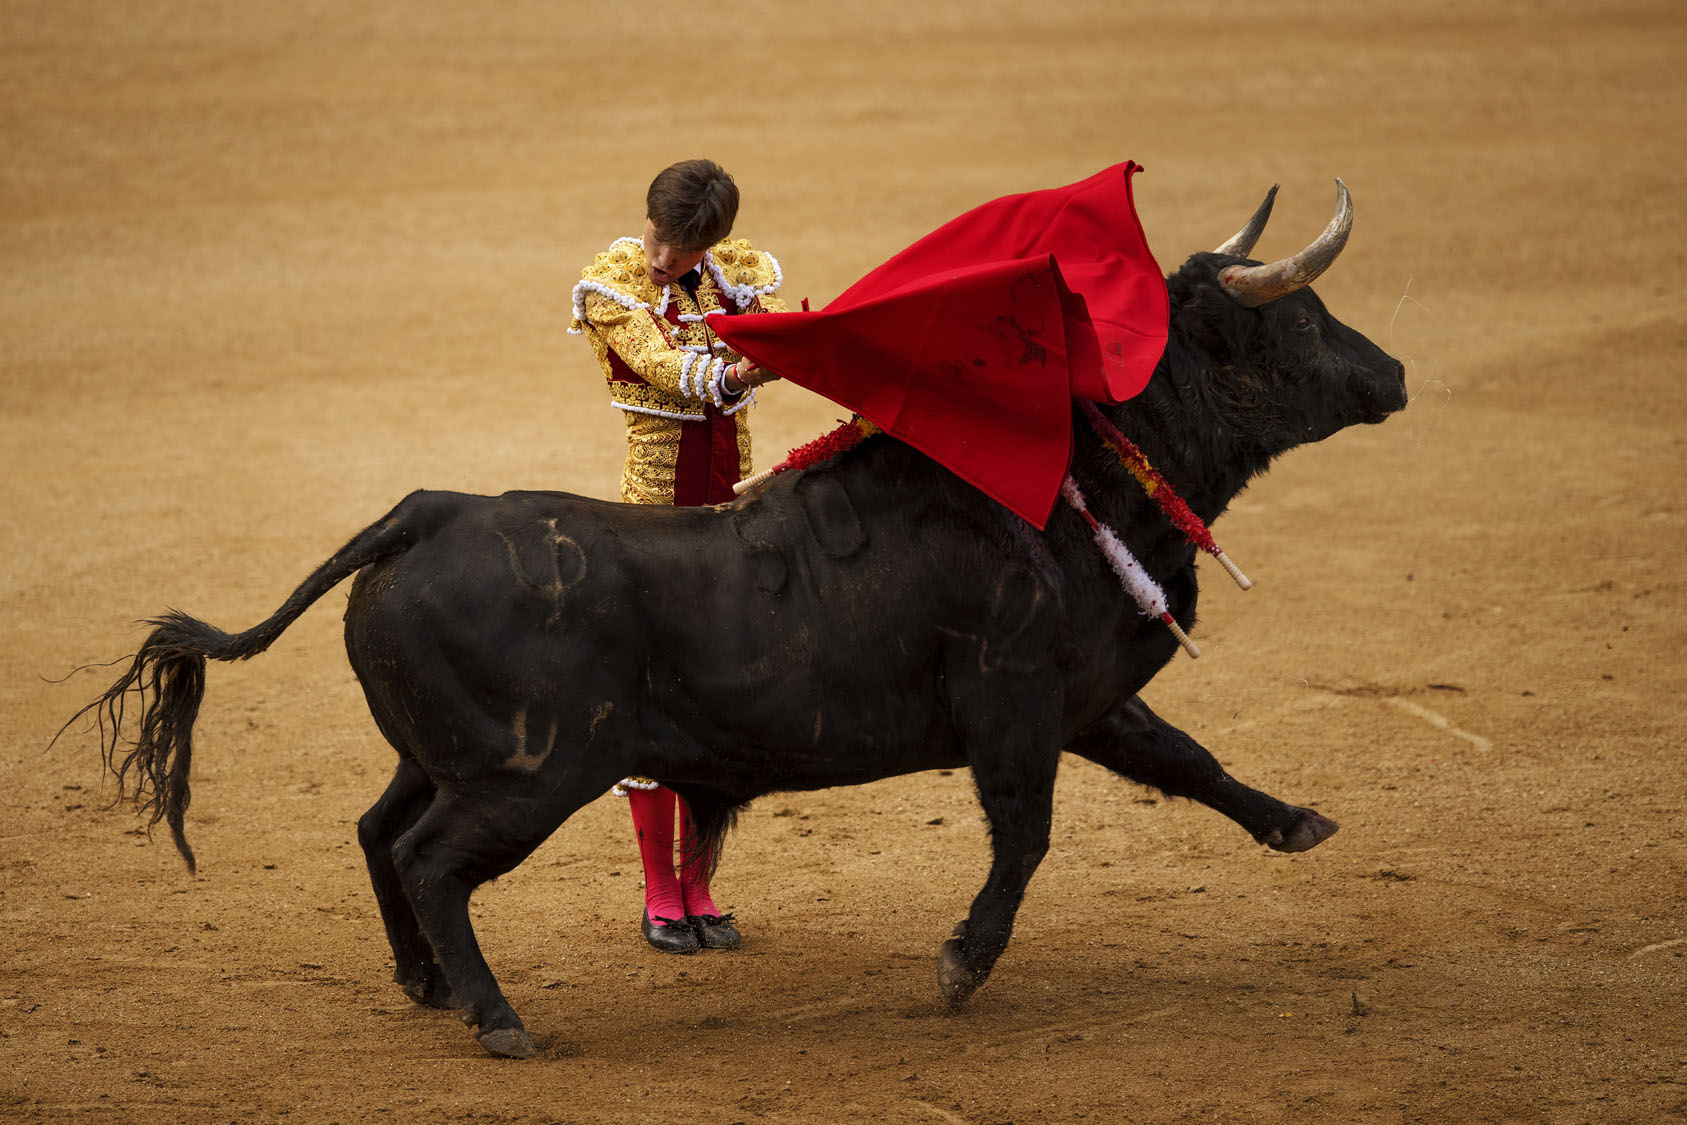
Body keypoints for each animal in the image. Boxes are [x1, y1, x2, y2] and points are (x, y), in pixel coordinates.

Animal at [72, 184, 1403, 1059]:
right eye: (1297, 321)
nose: (1392, 374)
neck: (1075, 478)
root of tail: (427, 510)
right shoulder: (1015, 707)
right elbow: (1024, 840)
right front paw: (959, 966)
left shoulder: (1083, 699)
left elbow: (1189, 760)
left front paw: (1296, 824)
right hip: (525, 777)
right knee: (429, 860)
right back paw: (499, 1020)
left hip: (445, 754)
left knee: (374, 830)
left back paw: (428, 986)